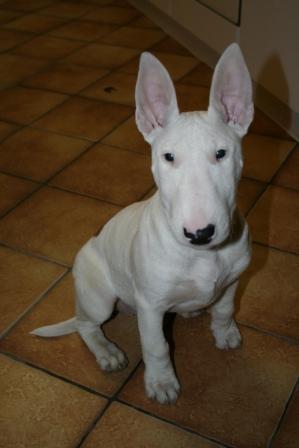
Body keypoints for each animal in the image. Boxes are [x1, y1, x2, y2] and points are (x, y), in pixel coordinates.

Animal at [32, 43, 253, 404]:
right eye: (168, 157)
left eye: (221, 153)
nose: (200, 233)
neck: (202, 256)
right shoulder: (151, 307)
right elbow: (156, 346)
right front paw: (162, 384)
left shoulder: (234, 279)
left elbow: (223, 309)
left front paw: (226, 335)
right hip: (98, 296)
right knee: (86, 325)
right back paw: (107, 352)